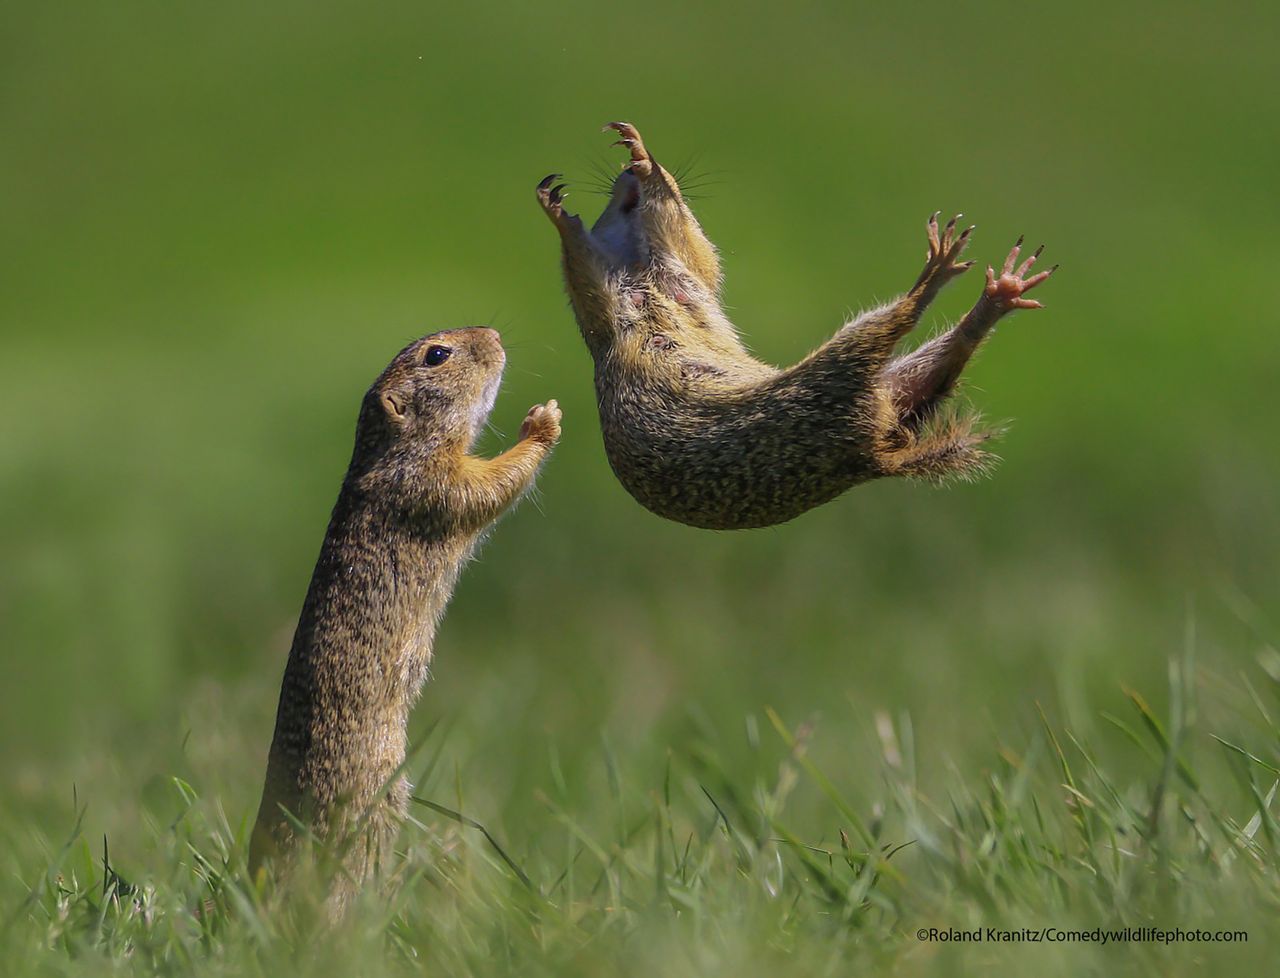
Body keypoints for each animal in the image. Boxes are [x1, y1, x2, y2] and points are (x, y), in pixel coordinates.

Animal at [252, 326, 563, 911]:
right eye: (436, 355)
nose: (495, 334)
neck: (385, 450)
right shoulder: (432, 484)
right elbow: (491, 482)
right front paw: (542, 422)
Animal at [535, 126, 1054, 535]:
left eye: (674, 184)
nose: (635, 174)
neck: (644, 270)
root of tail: (869, 454)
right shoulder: (607, 306)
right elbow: (585, 274)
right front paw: (558, 210)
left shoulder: (686, 267)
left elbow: (693, 246)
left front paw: (636, 152)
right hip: (840, 367)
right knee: (909, 331)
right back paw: (954, 282)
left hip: (845, 370)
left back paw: (975, 289)